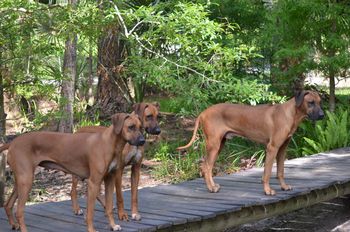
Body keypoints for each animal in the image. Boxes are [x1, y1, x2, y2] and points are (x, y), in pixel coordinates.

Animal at [0, 113, 145, 232]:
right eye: (131, 127)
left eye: (141, 127)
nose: (143, 141)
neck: (110, 143)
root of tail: (12, 142)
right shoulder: (94, 182)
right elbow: (90, 212)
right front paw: (91, 229)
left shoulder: (109, 179)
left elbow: (109, 208)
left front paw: (113, 226)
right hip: (26, 181)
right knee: (19, 211)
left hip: (21, 181)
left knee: (8, 204)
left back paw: (14, 224)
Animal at [178, 90, 326, 196]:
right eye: (311, 102)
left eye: (320, 102)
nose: (322, 115)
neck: (290, 114)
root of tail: (203, 112)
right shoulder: (272, 148)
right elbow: (267, 173)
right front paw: (267, 190)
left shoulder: (282, 148)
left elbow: (280, 171)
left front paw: (284, 186)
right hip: (214, 144)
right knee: (207, 166)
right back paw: (211, 188)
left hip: (220, 144)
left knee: (205, 166)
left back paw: (212, 186)